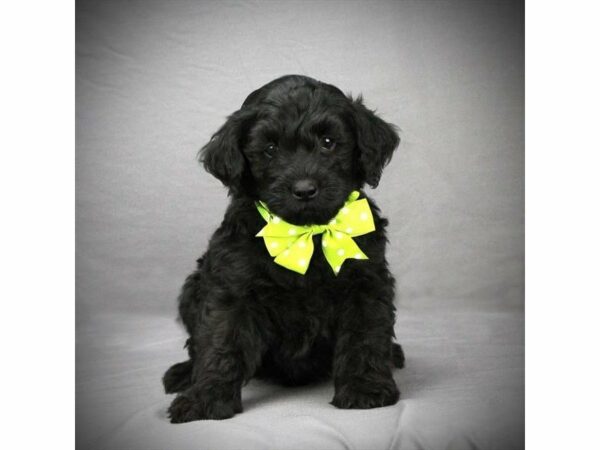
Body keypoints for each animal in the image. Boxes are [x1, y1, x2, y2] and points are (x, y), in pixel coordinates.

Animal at [163, 74, 404, 422]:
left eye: (328, 142)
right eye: (270, 149)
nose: (304, 190)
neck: (306, 235)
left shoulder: (366, 284)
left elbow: (366, 336)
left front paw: (366, 388)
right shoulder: (232, 289)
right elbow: (220, 343)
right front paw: (206, 399)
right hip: (191, 288)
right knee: (196, 344)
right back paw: (183, 374)